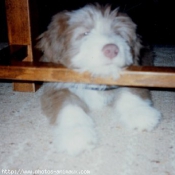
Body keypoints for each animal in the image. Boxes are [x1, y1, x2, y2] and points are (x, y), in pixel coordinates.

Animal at [37, 4, 161, 155]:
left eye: (119, 34)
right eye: (85, 33)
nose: (111, 49)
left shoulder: (135, 74)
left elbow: (130, 90)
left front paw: (140, 113)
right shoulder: (56, 86)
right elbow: (68, 104)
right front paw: (76, 135)